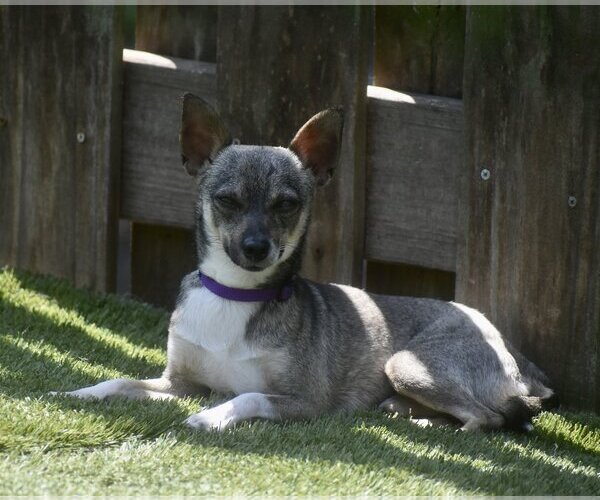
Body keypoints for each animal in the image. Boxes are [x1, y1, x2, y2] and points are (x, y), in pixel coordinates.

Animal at [52, 95, 556, 432]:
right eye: (227, 201)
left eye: (287, 205)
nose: (256, 247)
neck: (235, 294)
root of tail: (518, 356)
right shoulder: (179, 383)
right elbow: (119, 380)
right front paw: (75, 392)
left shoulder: (304, 402)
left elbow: (248, 395)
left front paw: (212, 417)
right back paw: (406, 412)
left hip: (408, 365)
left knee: (491, 418)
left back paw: (430, 424)